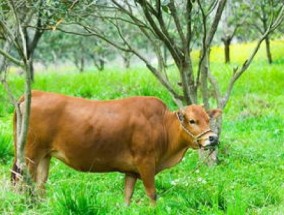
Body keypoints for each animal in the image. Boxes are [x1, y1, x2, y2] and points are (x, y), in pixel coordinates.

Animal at [11, 90, 222, 205]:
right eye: (192, 120)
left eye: (207, 118)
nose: (212, 138)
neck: (161, 125)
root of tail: (34, 93)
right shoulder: (146, 164)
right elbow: (152, 194)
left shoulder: (131, 171)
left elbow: (127, 197)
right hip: (29, 156)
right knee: (23, 184)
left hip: (44, 157)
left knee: (40, 186)